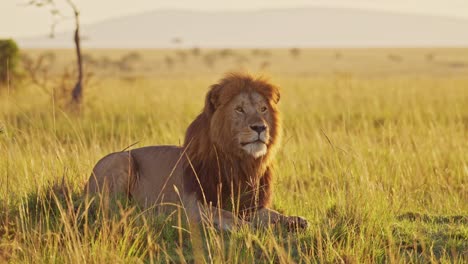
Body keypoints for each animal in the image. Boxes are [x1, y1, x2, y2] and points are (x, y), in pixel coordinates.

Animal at [86, 73, 308, 230]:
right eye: (239, 109)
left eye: (263, 109)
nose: (260, 127)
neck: (240, 162)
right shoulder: (191, 204)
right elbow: (222, 213)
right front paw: (243, 226)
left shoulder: (249, 204)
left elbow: (272, 213)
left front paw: (294, 220)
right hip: (122, 160)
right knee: (115, 209)